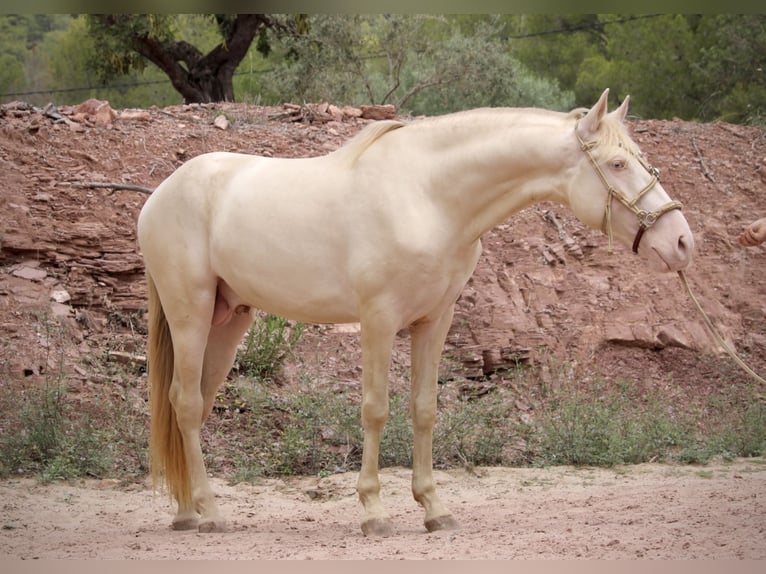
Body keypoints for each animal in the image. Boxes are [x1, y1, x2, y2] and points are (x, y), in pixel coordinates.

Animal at [136, 88, 696, 536]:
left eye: (641, 158)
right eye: (618, 164)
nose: (682, 242)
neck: (428, 196)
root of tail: (160, 194)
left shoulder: (435, 321)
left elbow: (424, 409)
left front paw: (434, 509)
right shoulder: (379, 320)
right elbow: (376, 409)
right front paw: (374, 512)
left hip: (228, 320)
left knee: (195, 405)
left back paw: (187, 513)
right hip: (190, 314)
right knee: (186, 404)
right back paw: (210, 514)